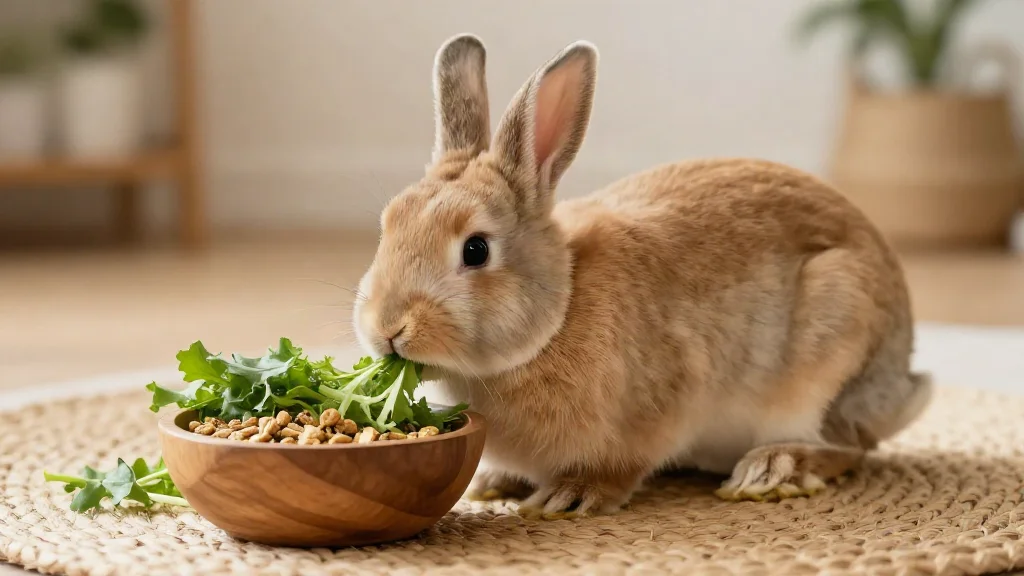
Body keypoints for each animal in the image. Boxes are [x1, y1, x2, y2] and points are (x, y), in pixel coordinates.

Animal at [352, 34, 932, 518]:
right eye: (388, 225)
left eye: (475, 250)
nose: (387, 328)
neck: (559, 313)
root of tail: (900, 384)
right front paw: (494, 482)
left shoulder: (662, 404)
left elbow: (619, 467)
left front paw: (570, 496)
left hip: (831, 351)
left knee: (847, 445)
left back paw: (772, 469)